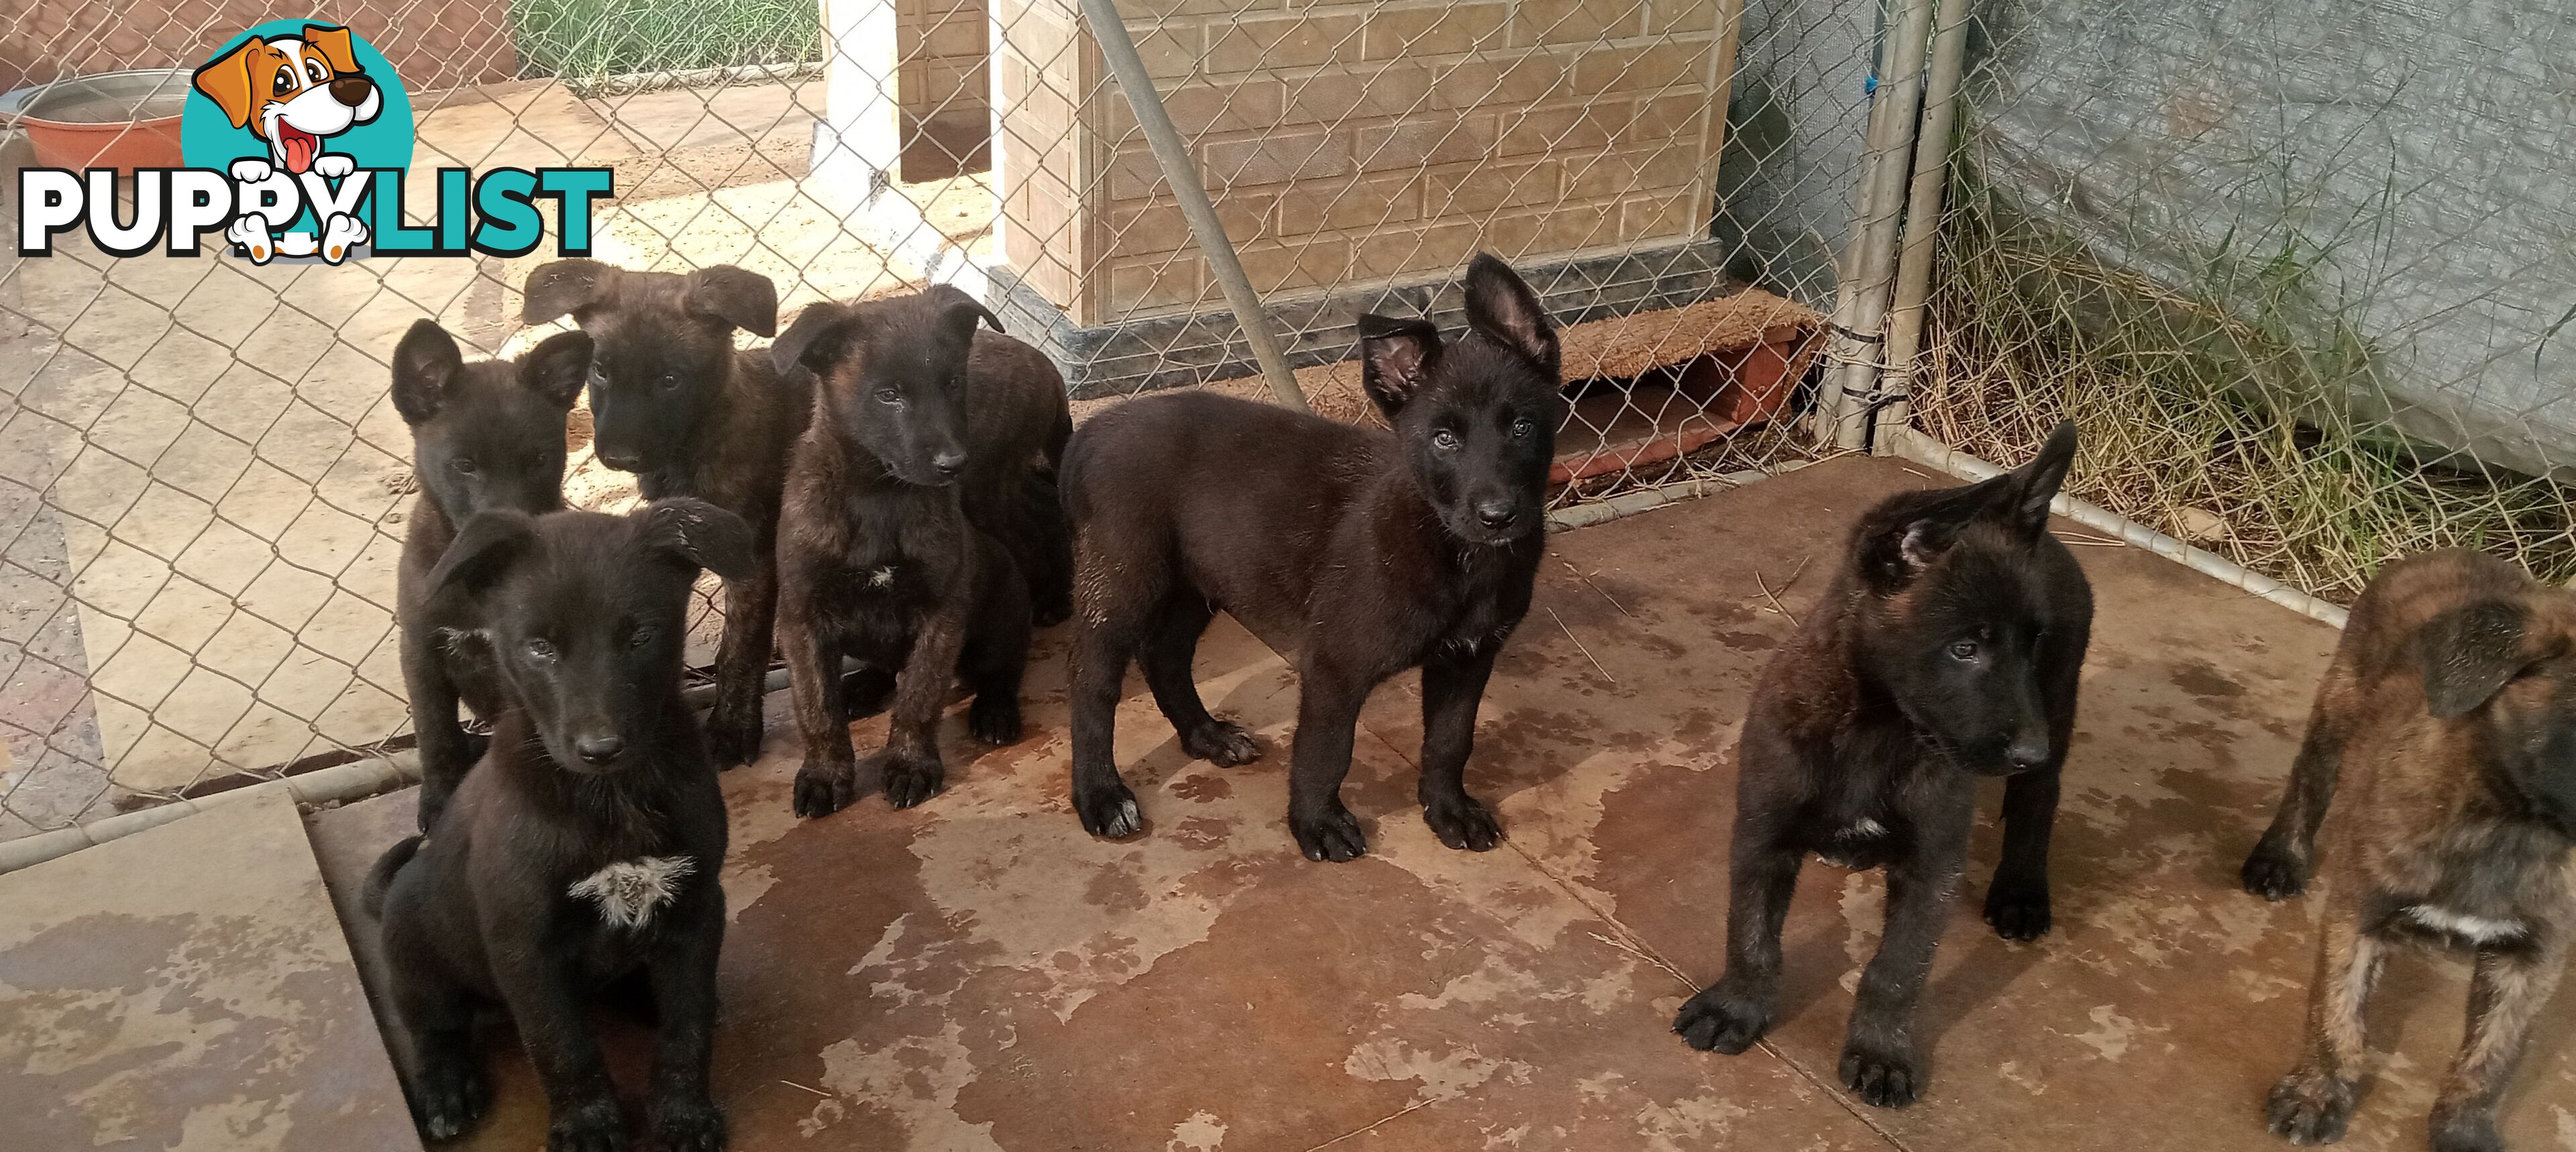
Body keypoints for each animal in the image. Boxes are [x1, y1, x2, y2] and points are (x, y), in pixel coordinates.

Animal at [370, 500, 752, 1152]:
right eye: (540, 647)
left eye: (641, 636)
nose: (601, 748)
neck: (611, 795)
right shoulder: (525, 943)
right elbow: (561, 1045)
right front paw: (589, 1125)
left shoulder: (697, 906)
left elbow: (687, 1025)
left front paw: (683, 1114)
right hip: (413, 941)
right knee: (434, 1025)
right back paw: (446, 1087)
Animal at [1056, 255, 1556, 866]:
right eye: (1443, 439)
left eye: (1523, 426)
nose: (1498, 515)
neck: (1452, 551)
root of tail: (1091, 429)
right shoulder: (1335, 662)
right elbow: (1326, 751)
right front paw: (1317, 823)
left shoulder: (1468, 660)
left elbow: (1449, 741)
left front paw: (1448, 810)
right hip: (1123, 577)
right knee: (1093, 681)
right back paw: (1101, 795)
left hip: (1203, 576)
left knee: (1165, 655)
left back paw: (1206, 735)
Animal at [1669, 422, 2092, 1108]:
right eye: (1964, 647)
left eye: (2032, 641)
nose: (2030, 750)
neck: (1877, 729)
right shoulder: (1763, 833)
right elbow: (1750, 933)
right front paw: (1737, 1005)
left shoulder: (1933, 865)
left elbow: (1897, 969)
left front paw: (1879, 1052)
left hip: (2058, 698)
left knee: (2039, 800)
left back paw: (2022, 890)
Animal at [2236, 552, 2576, 1152]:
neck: (2509, 826)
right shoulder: (2359, 910)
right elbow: (2336, 1011)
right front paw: (2316, 1094)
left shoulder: (2537, 955)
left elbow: (2492, 1055)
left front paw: (2464, 1130)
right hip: (2341, 700)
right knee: (2309, 780)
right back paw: (2279, 858)